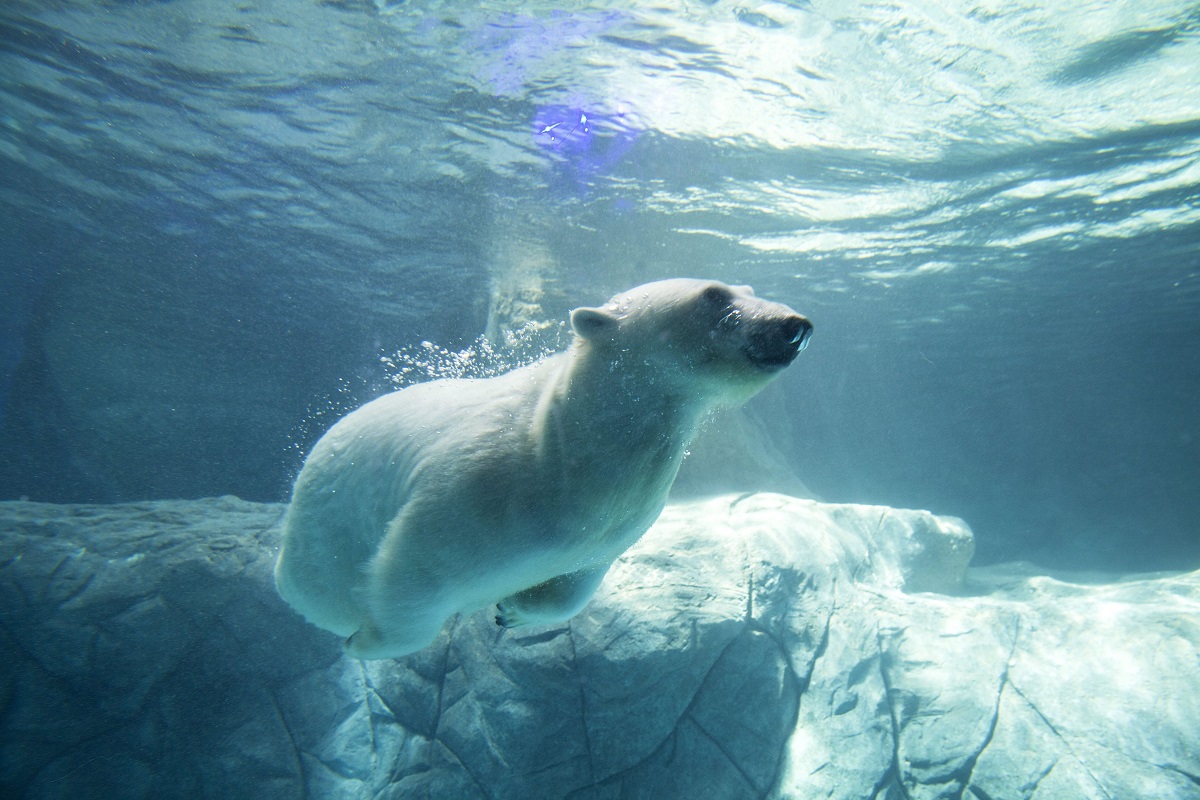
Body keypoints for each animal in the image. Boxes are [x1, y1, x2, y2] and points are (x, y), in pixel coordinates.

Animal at [276, 278, 811, 662]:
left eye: (748, 287)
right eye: (714, 294)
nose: (795, 325)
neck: (563, 455)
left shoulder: (613, 527)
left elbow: (572, 583)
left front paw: (510, 611)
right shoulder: (470, 491)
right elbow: (411, 577)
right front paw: (364, 643)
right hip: (322, 541)